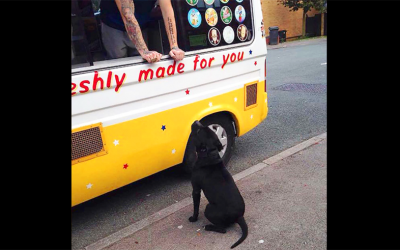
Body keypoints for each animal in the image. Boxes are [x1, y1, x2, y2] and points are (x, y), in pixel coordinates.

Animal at [188, 120, 247, 248]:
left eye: (198, 132)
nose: (196, 121)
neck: (209, 154)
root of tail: (239, 216)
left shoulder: (196, 189)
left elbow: (196, 207)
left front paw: (194, 218)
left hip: (208, 208)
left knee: (223, 229)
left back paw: (209, 227)